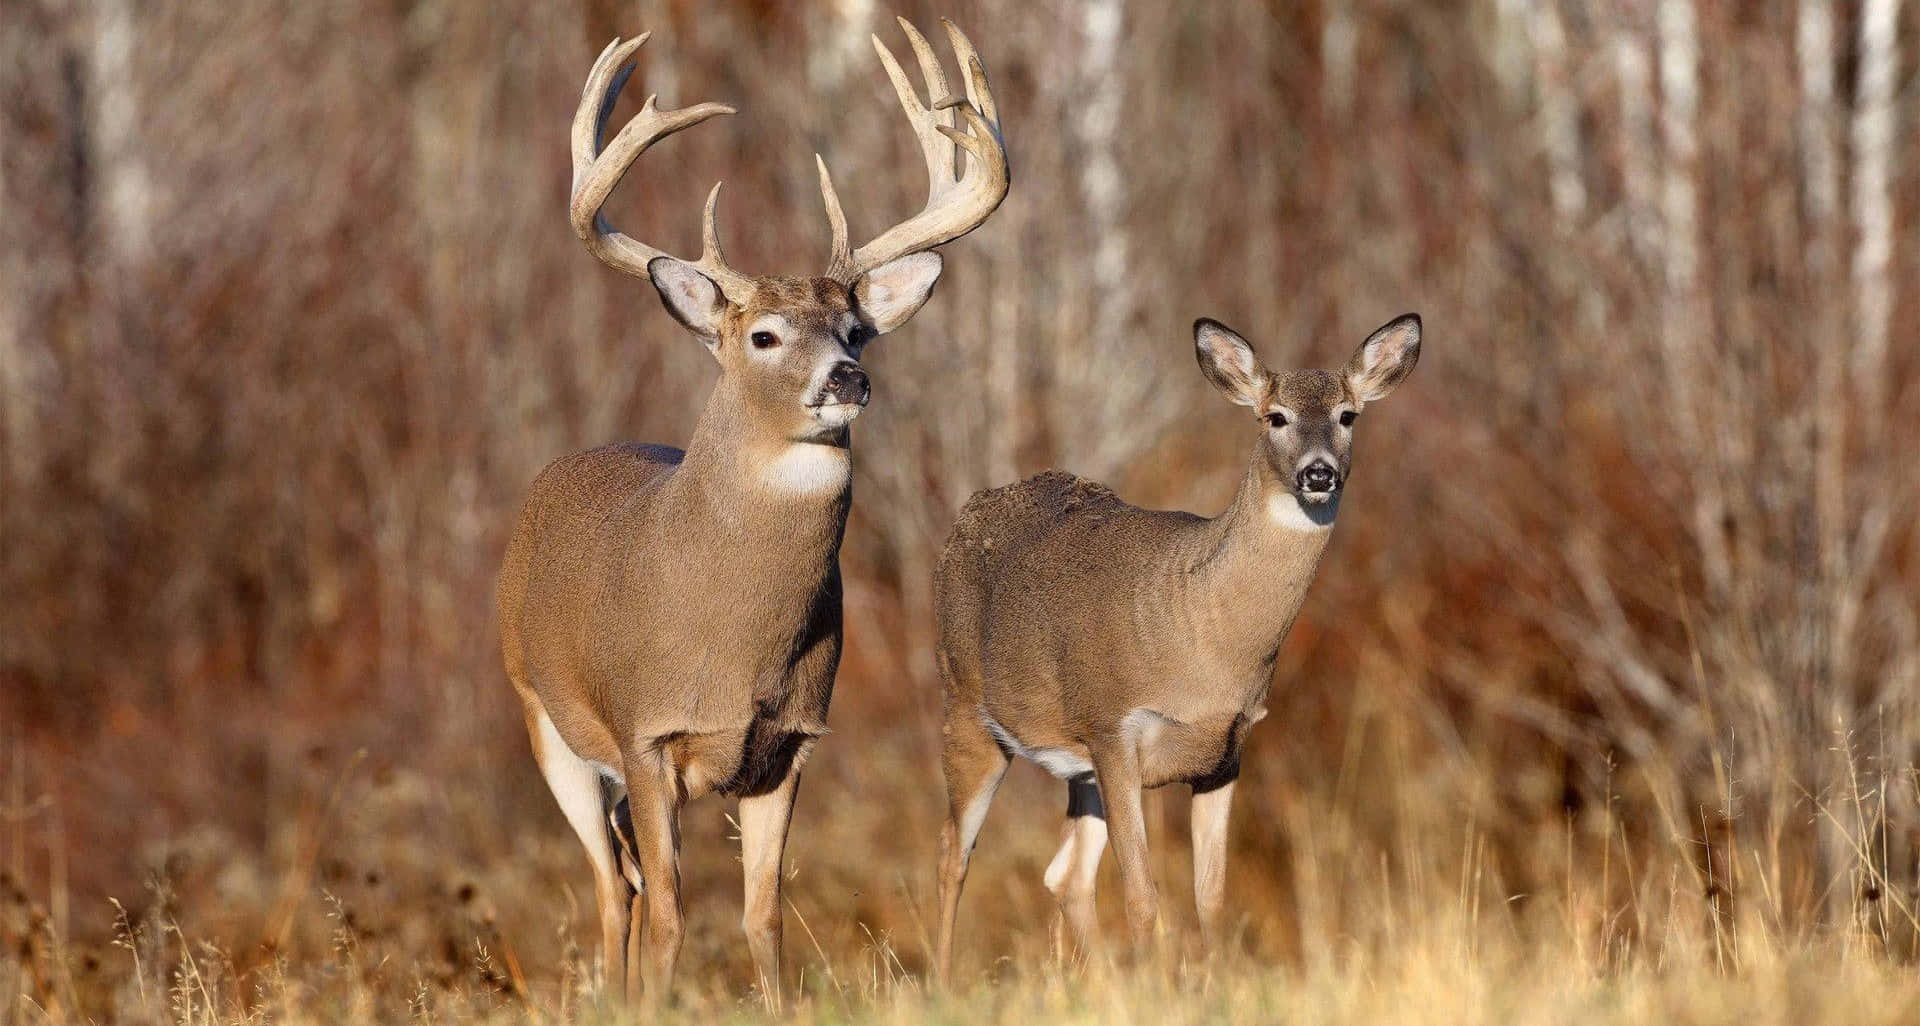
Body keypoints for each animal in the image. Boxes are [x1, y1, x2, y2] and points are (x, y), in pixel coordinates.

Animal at [496, 19, 1007, 1004]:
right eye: (764, 337)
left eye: (856, 330)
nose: (848, 379)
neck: (734, 644)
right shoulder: (647, 732)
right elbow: (670, 916)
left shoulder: (791, 743)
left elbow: (763, 917)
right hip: (546, 722)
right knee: (612, 889)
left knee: (621, 880)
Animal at [930, 313, 1422, 977]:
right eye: (1275, 417)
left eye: (1348, 415)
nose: (1318, 473)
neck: (1204, 641)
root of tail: (967, 515)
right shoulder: (1115, 729)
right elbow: (1142, 893)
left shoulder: (1226, 752)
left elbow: (1209, 893)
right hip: (967, 705)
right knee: (953, 853)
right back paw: (941, 979)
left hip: (1078, 767)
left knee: (1065, 875)